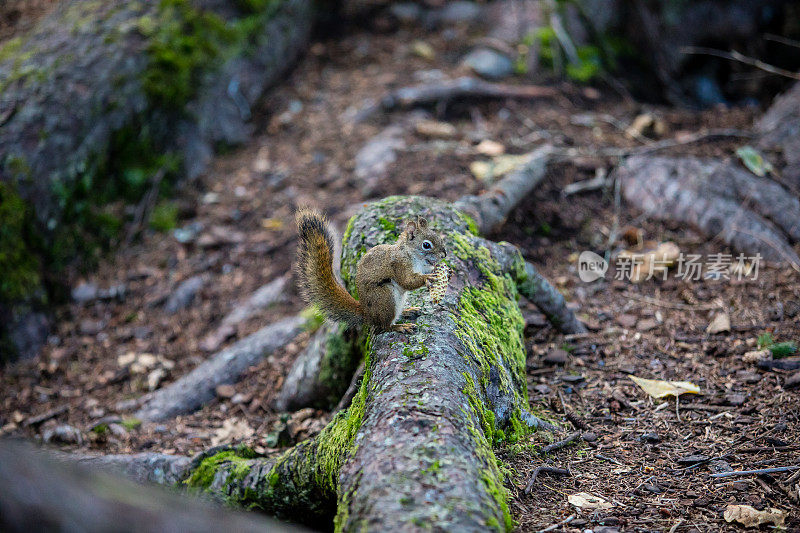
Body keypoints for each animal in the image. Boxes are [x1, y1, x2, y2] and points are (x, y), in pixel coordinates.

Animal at [296, 209, 446, 330]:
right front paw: (426, 278)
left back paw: (407, 311)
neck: (411, 254)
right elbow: (407, 281)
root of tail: (368, 315)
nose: (444, 255)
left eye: (438, 237)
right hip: (385, 298)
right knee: (384, 326)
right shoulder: (399, 265)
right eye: (426, 245)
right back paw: (400, 327)